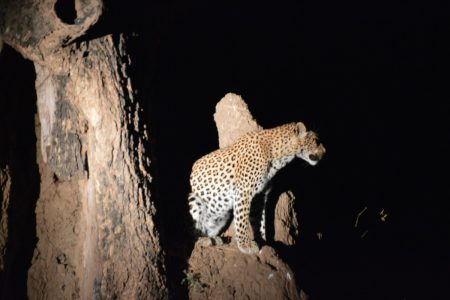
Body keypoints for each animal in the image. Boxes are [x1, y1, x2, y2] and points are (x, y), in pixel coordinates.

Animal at [188, 120, 326, 254]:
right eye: (316, 141)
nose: (325, 152)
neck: (278, 155)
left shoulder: (260, 195)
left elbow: (259, 221)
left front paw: (262, 241)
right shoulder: (243, 191)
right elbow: (242, 220)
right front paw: (245, 245)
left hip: (222, 216)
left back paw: (214, 238)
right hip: (193, 199)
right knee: (195, 234)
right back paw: (205, 240)